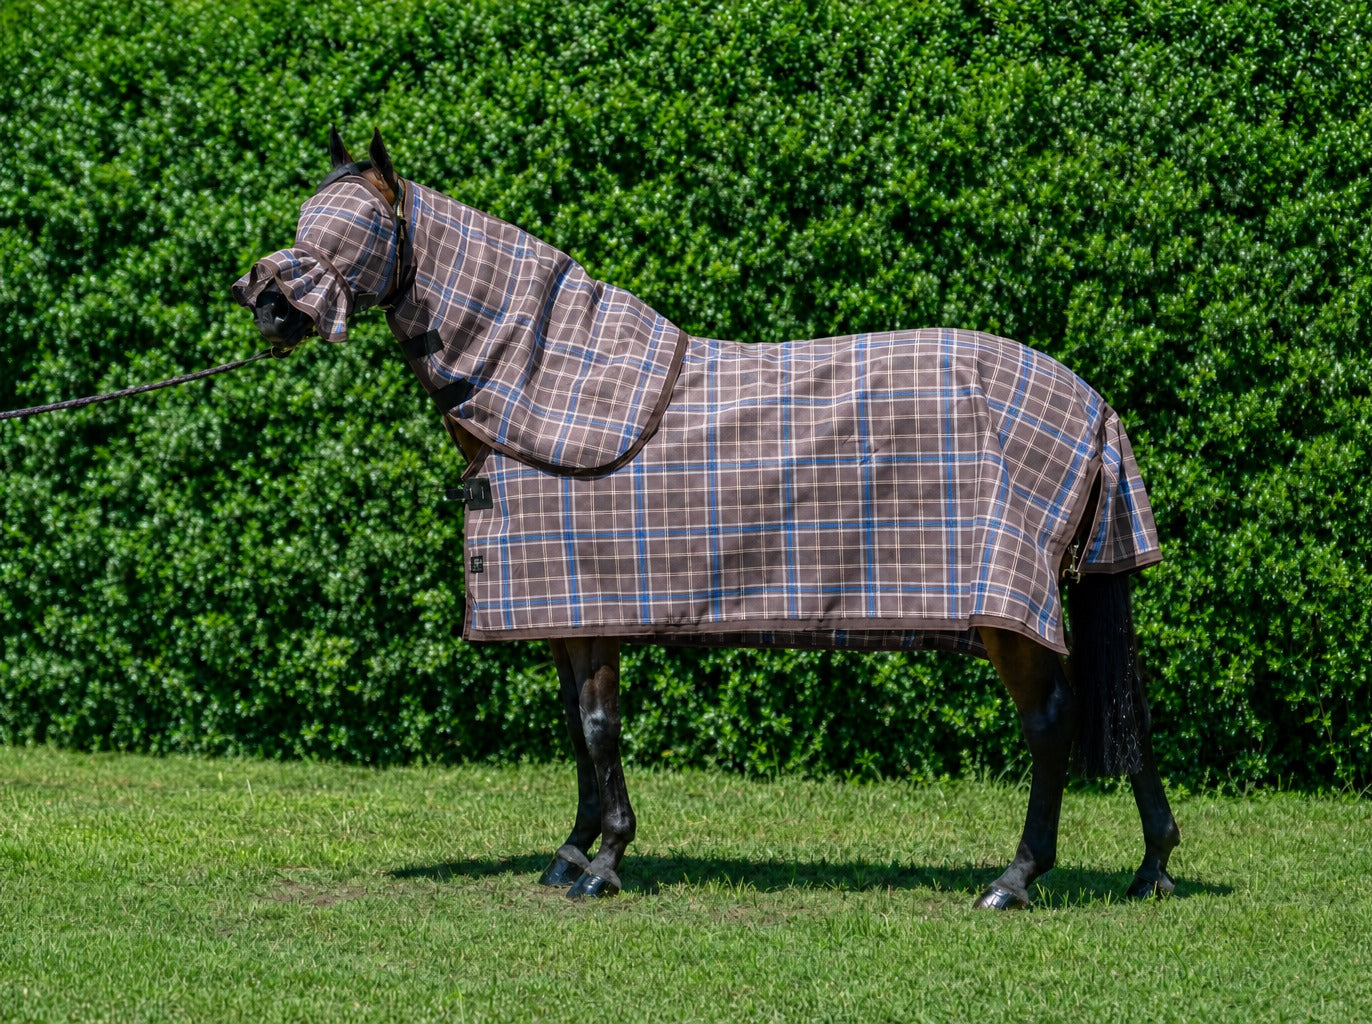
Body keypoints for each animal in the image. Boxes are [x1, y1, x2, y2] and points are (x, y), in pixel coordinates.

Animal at [234, 129, 1179, 909]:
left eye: (356, 228)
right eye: (306, 218)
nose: (267, 304)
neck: (542, 391)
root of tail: (1092, 404)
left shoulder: (594, 609)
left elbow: (599, 727)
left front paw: (605, 864)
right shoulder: (566, 612)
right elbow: (576, 729)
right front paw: (572, 853)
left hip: (1006, 615)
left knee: (1051, 724)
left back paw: (1015, 879)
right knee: (1125, 714)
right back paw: (1153, 867)